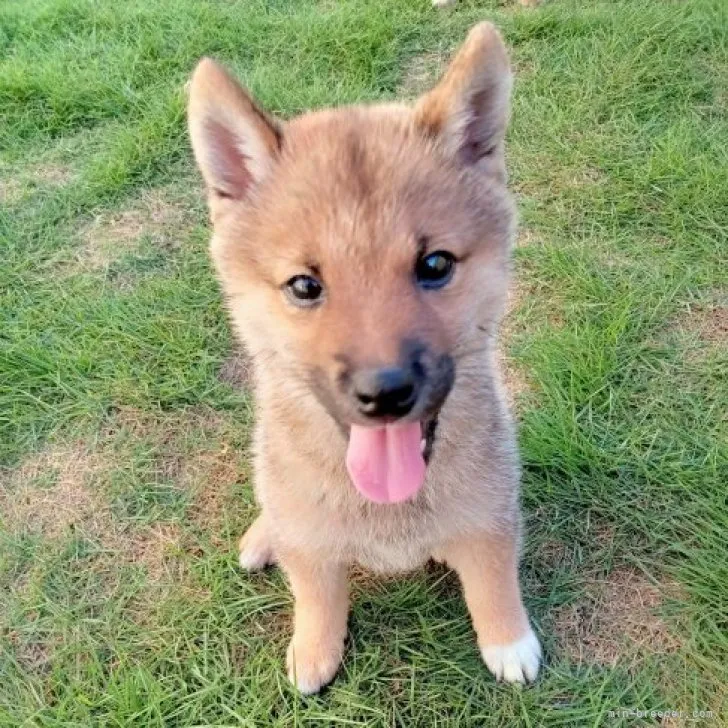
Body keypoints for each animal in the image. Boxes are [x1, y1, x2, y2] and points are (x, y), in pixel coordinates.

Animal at [188, 22, 540, 692]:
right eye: (304, 285)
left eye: (435, 264)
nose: (385, 391)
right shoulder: (311, 545)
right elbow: (317, 593)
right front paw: (313, 651)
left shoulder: (488, 516)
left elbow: (492, 581)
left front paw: (509, 641)